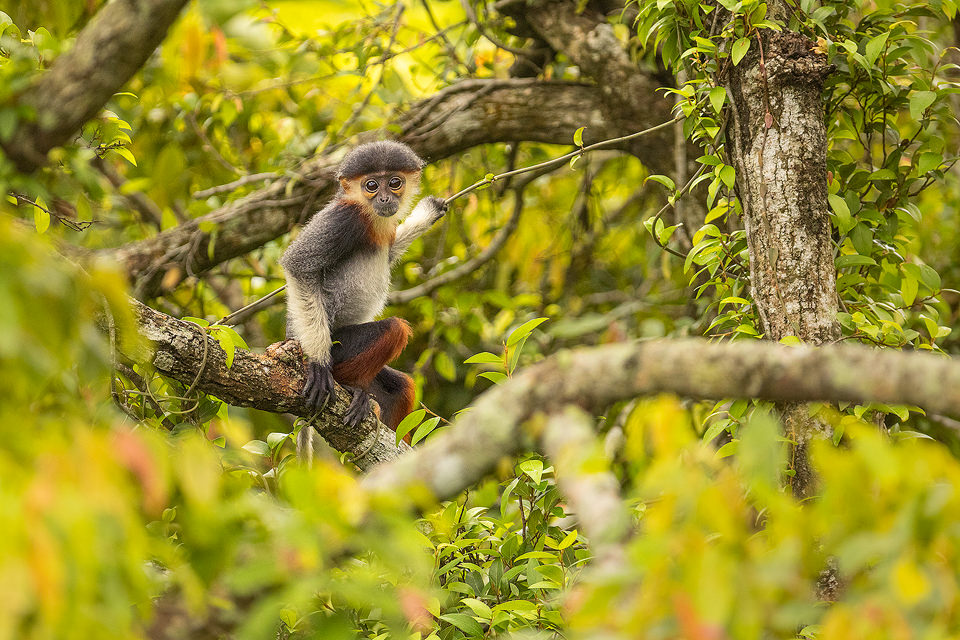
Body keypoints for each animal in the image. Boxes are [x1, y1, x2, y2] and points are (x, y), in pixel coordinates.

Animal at [280, 141, 448, 456]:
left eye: (394, 183)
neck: (371, 217)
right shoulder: (344, 218)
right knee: (395, 328)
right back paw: (349, 388)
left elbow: (391, 252)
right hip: (339, 346)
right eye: (371, 185)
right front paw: (318, 363)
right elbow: (298, 265)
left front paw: (429, 212)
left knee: (401, 386)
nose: (384, 197)